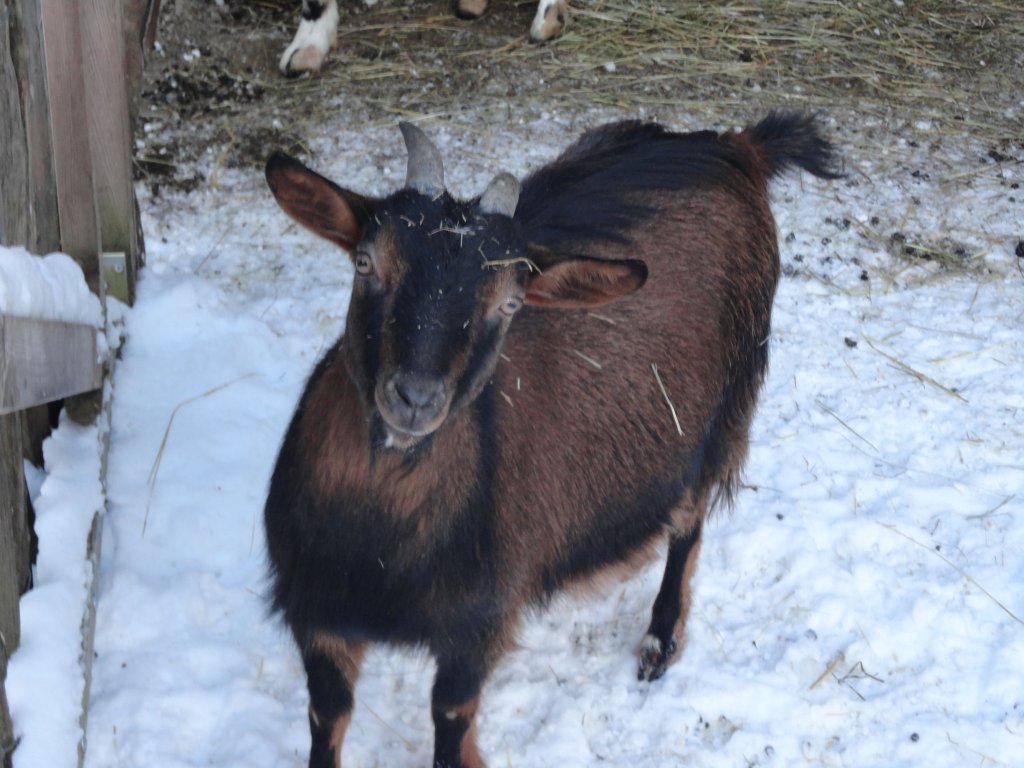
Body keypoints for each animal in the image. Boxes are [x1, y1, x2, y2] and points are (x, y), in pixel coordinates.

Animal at [264, 114, 839, 768]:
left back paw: (659, 642)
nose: (414, 397)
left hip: (723, 414)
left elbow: (451, 722)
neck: (378, 552)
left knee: (688, 525)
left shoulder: (478, 625)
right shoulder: (317, 618)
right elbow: (327, 719)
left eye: (510, 301)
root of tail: (737, 145)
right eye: (365, 263)